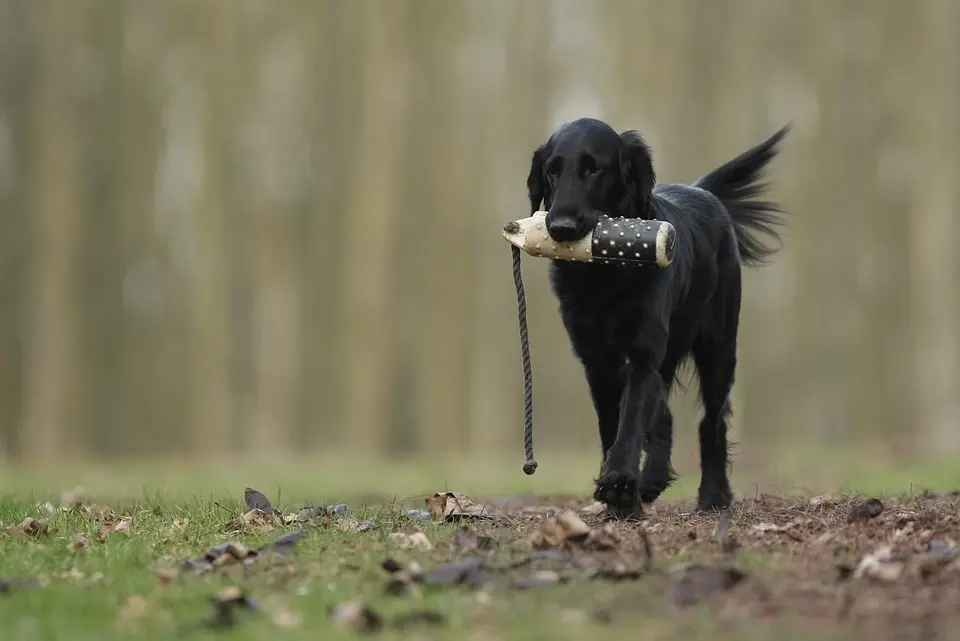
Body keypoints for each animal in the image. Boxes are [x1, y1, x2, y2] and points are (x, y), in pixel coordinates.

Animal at [524, 117, 788, 516]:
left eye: (594, 169)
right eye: (552, 171)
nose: (561, 227)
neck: (603, 276)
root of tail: (702, 191)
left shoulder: (643, 353)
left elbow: (632, 418)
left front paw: (619, 484)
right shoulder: (596, 360)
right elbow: (613, 422)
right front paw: (622, 497)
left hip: (718, 346)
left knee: (712, 421)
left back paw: (714, 496)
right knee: (664, 415)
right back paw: (652, 480)